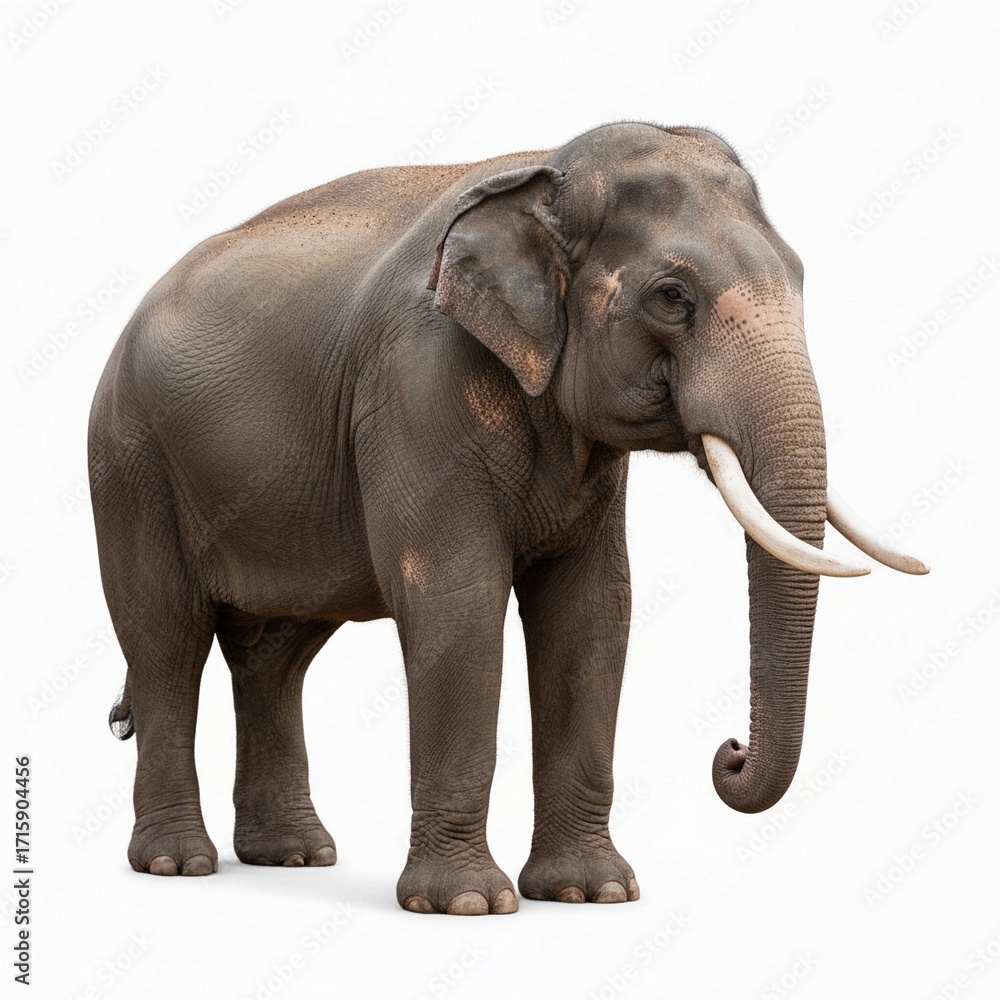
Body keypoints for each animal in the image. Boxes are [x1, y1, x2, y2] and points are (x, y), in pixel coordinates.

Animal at [89, 121, 927, 915]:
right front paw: (465, 904)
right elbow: (456, 600)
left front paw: (594, 894)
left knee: (274, 654)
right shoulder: (416, 384)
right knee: (165, 637)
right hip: (129, 462)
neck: (544, 171)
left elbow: (591, 613)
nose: (729, 752)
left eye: (801, 275)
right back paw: (177, 864)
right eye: (671, 297)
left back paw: (293, 856)